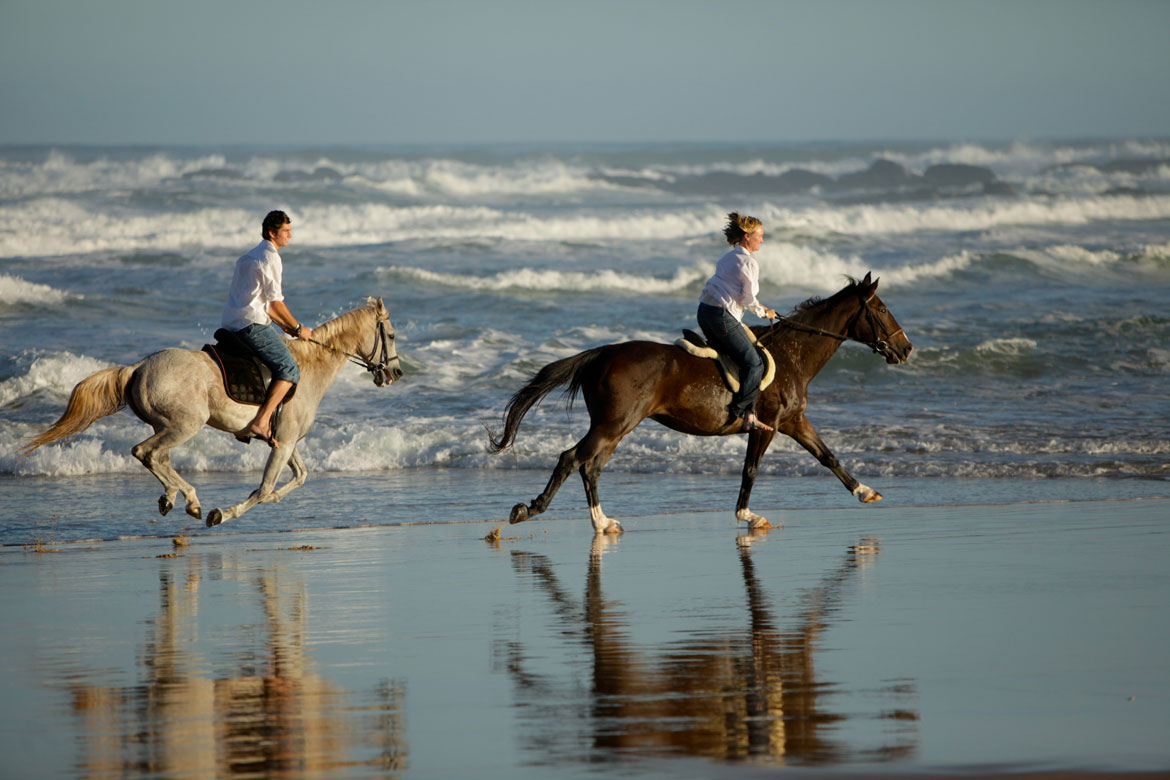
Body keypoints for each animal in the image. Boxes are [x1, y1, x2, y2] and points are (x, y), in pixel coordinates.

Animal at [25, 295, 404, 528]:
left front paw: (274, 497)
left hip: (168, 426)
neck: (309, 366)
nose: (396, 373)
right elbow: (264, 489)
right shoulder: (283, 441)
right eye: (391, 334)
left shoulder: (284, 441)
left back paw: (172, 498)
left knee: (157, 458)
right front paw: (223, 513)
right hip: (184, 425)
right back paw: (191, 501)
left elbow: (299, 476)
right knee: (146, 452)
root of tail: (139, 367)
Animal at [486, 271, 912, 533]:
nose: (906, 349)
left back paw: (603, 523)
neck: (794, 355)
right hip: (614, 423)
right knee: (572, 459)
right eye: (881, 309)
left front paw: (865, 491)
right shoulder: (767, 426)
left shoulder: (793, 422)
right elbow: (751, 471)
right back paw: (532, 511)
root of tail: (602, 353)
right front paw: (748, 516)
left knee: (590, 466)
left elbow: (828, 456)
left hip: (615, 426)